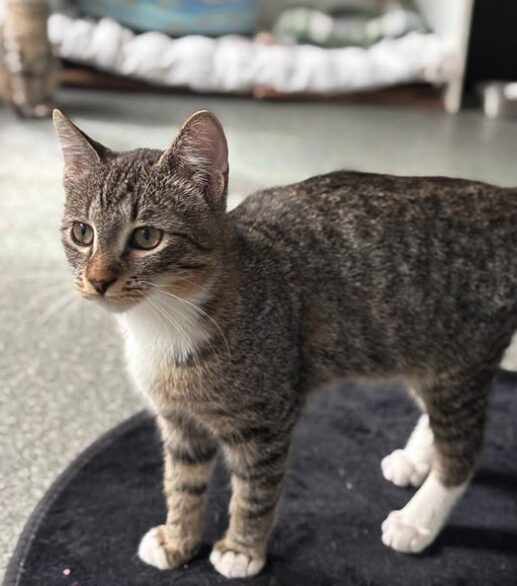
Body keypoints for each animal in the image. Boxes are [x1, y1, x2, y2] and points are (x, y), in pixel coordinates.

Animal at [53, 107, 517, 576]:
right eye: (82, 233)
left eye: (147, 237)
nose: (98, 280)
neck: (164, 321)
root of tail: (501, 198)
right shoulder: (178, 420)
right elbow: (183, 482)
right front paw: (178, 538)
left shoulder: (266, 418)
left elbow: (256, 489)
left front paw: (242, 549)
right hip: (416, 347)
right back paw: (418, 458)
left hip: (459, 362)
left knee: (463, 449)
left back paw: (418, 519)